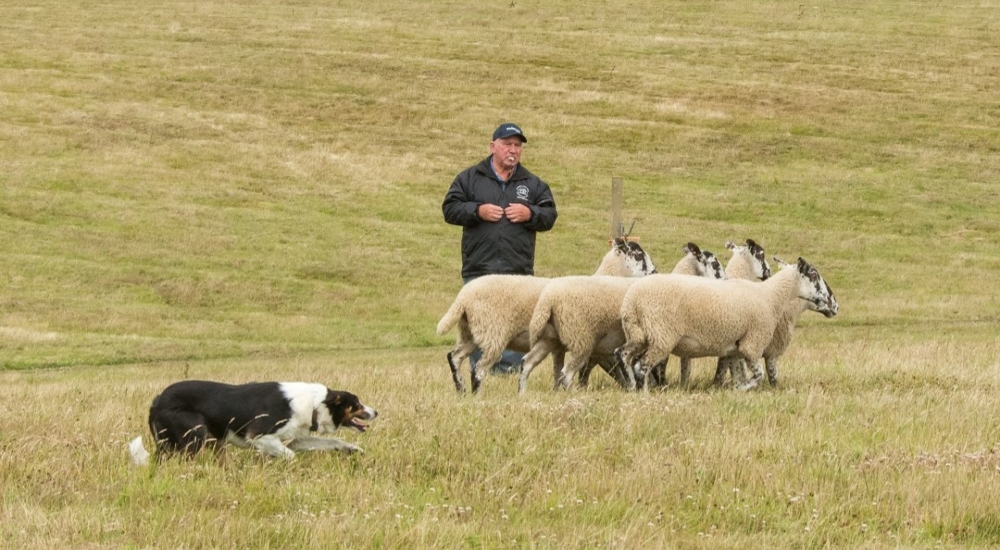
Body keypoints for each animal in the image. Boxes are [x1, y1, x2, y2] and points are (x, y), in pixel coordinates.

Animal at [436, 239, 656, 394]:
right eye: (638, 255)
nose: (655, 272)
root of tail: (463, 298)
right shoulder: (593, 345)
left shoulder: (559, 345)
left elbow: (559, 372)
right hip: (494, 335)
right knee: (478, 369)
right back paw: (476, 394)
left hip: (474, 333)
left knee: (454, 357)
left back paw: (462, 391)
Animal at [616, 256, 836, 390]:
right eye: (814, 274)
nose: (833, 304)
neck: (771, 296)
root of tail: (632, 301)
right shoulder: (752, 344)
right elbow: (759, 376)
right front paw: (741, 389)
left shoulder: (733, 350)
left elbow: (738, 374)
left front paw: (733, 388)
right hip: (661, 336)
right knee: (641, 366)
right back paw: (644, 392)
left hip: (639, 334)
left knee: (623, 355)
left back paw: (631, 387)